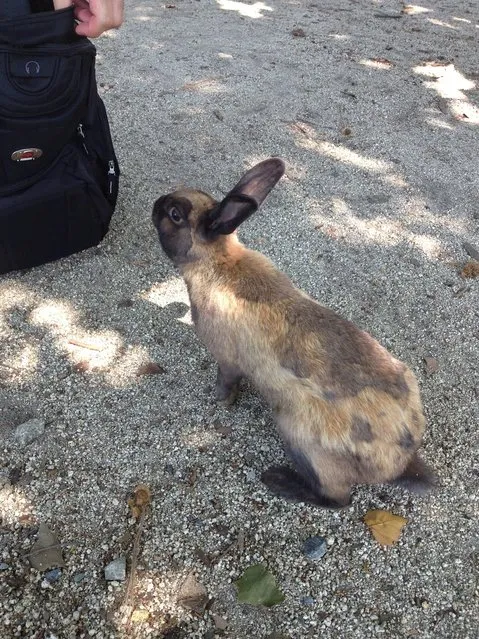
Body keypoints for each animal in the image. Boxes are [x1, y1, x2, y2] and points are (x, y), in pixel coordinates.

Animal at [152, 158, 436, 508]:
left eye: (175, 214)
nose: (156, 204)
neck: (217, 264)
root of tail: (399, 463)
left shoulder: (227, 360)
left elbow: (226, 382)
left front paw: (218, 400)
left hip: (300, 438)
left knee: (337, 498)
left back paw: (278, 481)